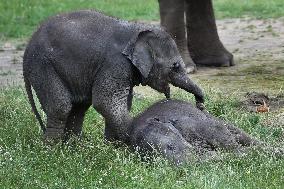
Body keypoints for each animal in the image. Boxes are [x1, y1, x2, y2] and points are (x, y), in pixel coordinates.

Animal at [22, 10, 204, 143]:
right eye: (175, 66)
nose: (200, 105)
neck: (136, 30)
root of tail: (28, 46)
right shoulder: (115, 64)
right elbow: (106, 102)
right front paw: (129, 139)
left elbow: (120, 103)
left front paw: (112, 146)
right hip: (43, 65)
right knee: (61, 106)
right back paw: (51, 149)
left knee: (78, 107)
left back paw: (73, 147)